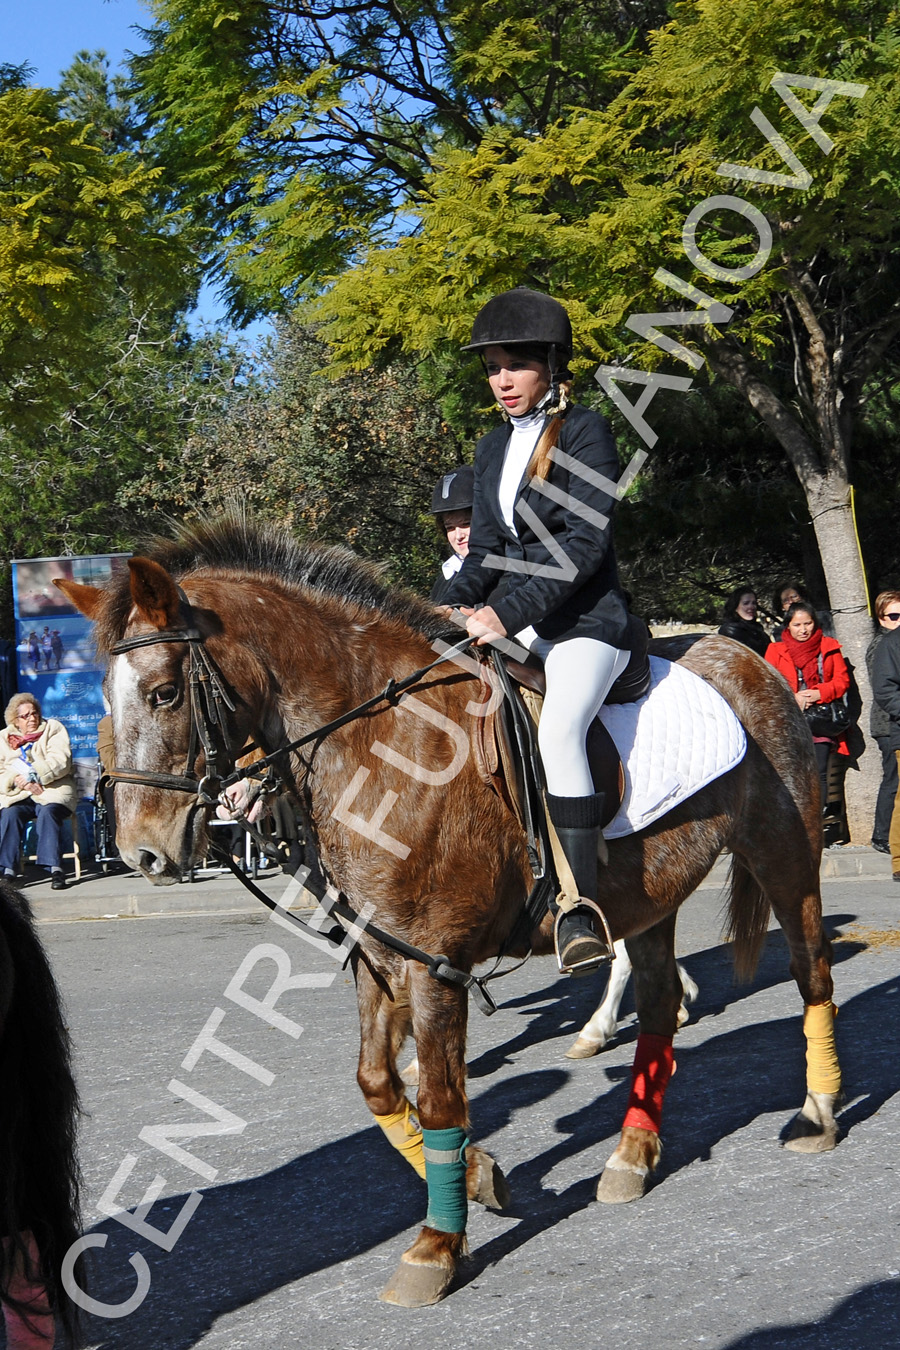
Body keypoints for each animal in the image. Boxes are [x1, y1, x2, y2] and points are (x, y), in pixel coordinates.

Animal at [59, 515, 841, 1306]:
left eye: (163, 694)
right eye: (105, 699)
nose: (141, 852)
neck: (379, 746)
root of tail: (747, 655)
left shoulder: (435, 965)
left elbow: (439, 1100)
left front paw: (436, 1246)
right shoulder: (380, 955)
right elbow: (378, 1083)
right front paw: (478, 1176)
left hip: (785, 854)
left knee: (812, 972)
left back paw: (816, 1112)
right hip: (648, 898)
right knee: (655, 1004)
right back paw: (631, 1151)